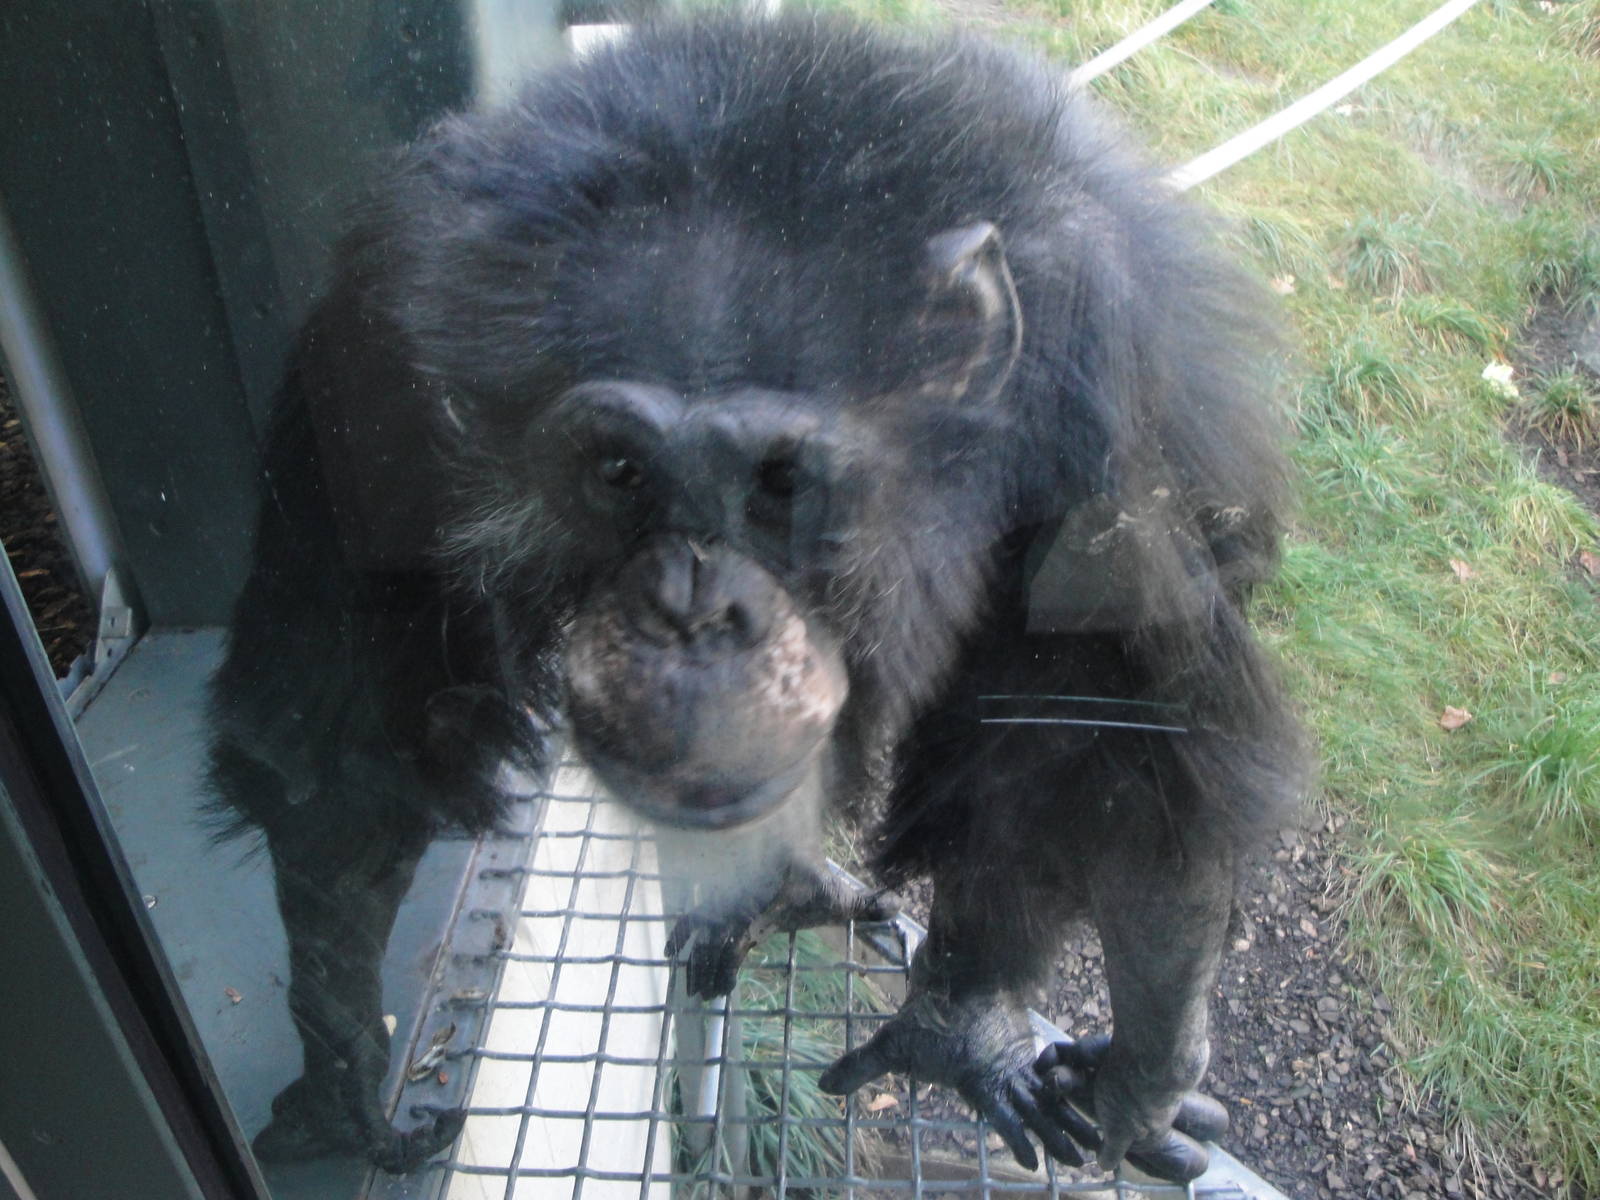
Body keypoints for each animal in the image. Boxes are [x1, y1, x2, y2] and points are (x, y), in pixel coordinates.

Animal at [206, 12, 1305, 1181]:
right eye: (619, 473)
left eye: (779, 484)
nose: (695, 611)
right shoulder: (373, 365)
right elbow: (342, 745)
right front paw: (341, 1070)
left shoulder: (1103, 371)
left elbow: (1108, 731)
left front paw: (1114, 1063)